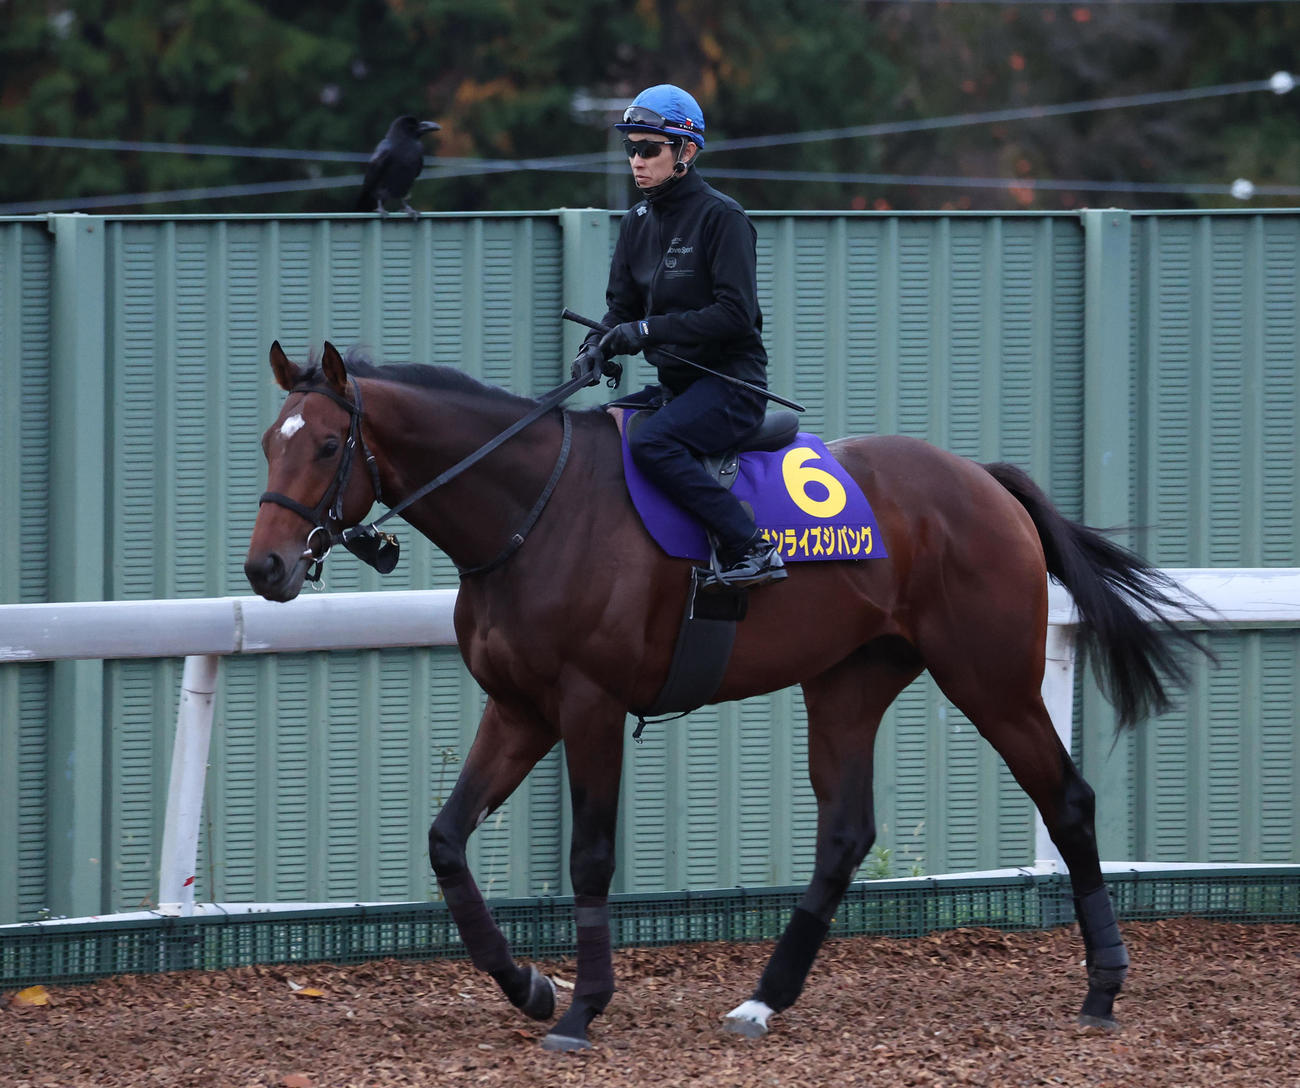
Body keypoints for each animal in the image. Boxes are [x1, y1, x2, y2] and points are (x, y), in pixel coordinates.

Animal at [244, 340, 1203, 1052]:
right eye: (268, 442)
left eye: (325, 445)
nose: (265, 569)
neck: (534, 510)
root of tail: (981, 479)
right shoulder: (519, 709)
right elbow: (446, 840)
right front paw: (529, 985)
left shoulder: (588, 706)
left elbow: (590, 857)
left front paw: (583, 1006)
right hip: (849, 682)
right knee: (845, 834)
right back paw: (763, 999)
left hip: (990, 678)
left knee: (1066, 799)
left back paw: (1103, 987)